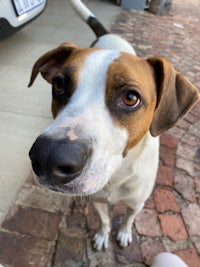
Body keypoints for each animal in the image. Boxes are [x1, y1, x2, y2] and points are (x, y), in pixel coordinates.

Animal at [28, 0, 199, 251]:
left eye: (131, 98)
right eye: (58, 85)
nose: (48, 157)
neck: (117, 174)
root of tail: (107, 35)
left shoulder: (136, 203)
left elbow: (128, 219)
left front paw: (125, 233)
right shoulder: (97, 200)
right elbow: (104, 220)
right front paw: (102, 235)